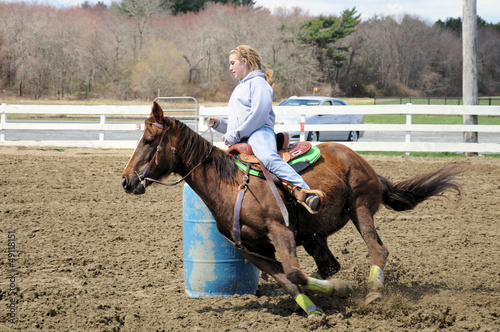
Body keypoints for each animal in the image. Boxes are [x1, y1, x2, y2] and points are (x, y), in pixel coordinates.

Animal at [122, 102, 460, 318]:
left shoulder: (280, 230)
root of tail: (364, 163)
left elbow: (294, 272)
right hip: (313, 235)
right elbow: (287, 279)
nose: (126, 180)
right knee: (329, 265)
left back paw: (373, 291)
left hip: (360, 207)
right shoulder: (250, 250)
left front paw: (338, 292)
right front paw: (314, 307)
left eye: (149, 140)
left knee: (378, 249)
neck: (231, 184)